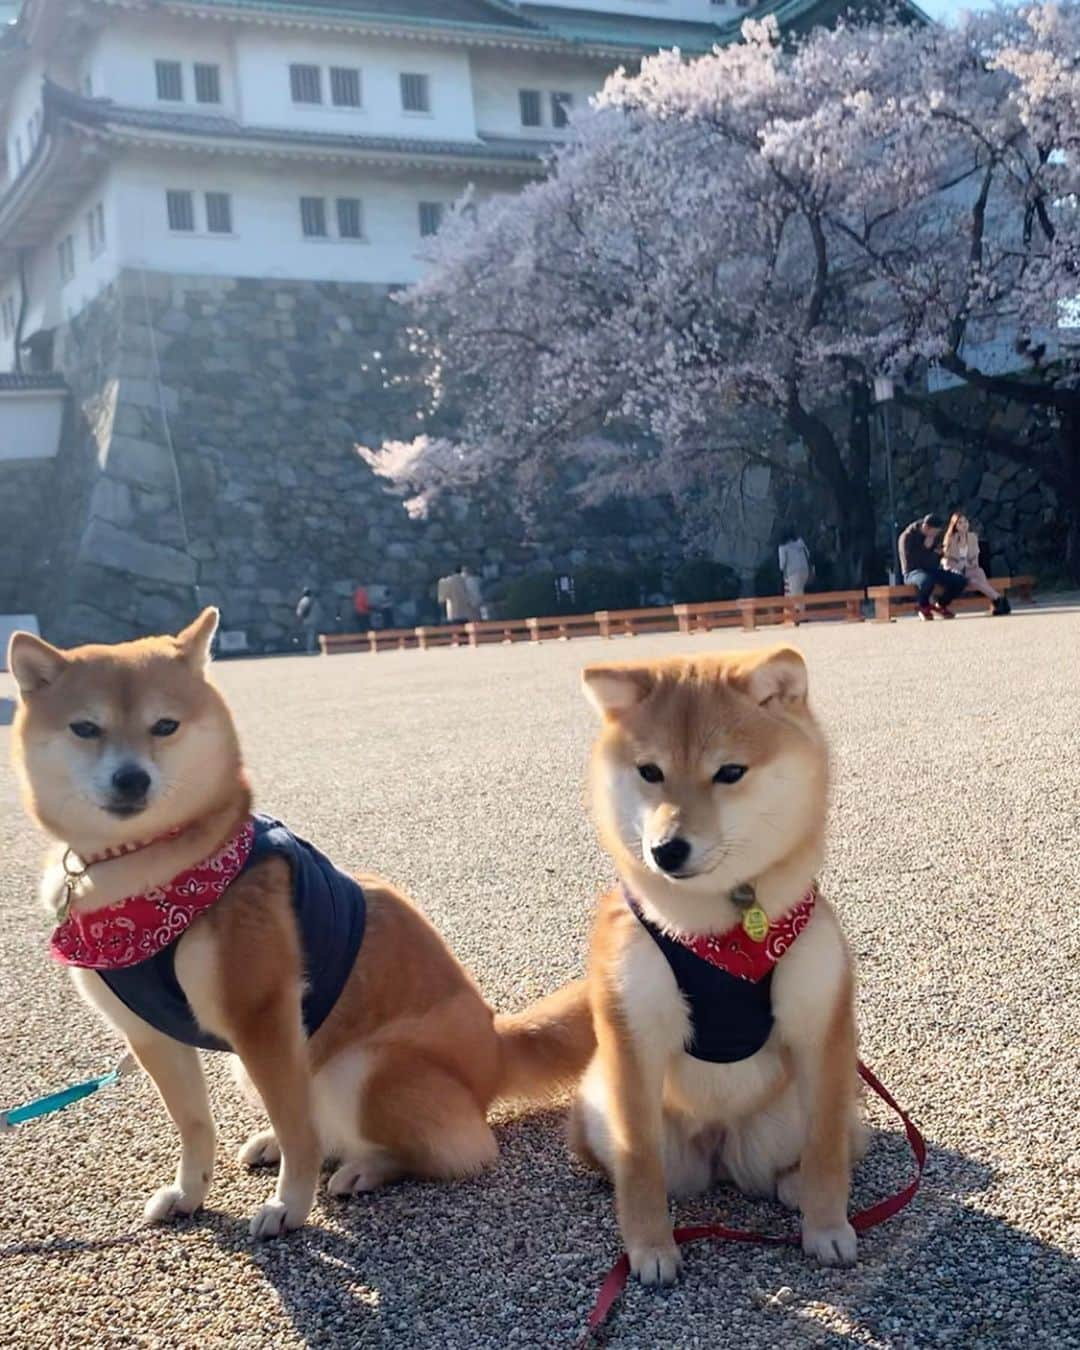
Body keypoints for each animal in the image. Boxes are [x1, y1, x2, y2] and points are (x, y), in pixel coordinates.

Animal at [8, 612, 594, 1242]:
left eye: (164, 725)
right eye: (85, 728)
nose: (130, 779)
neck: (146, 878)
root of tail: (496, 1047)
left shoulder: (263, 1019)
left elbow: (300, 1132)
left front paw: (290, 1204)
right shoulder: (151, 1035)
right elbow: (195, 1126)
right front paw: (190, 1194)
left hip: (357, 1066)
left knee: (459, 1148)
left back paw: (365, 1168)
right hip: (257, 1064)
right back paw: (275, 1144)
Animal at [569, 650, 864, 1285]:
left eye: (730, 772)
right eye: (649, 771)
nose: (666, 849)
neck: (720, 927)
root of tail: (719, 1147)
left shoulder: (820, 1031)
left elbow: (826, 1150)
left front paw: (827, 1229)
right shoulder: (633, 1039)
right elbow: (639, 1166)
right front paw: (650, 1247)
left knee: (829, 1147)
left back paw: (795, 1187)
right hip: (603, 1102)